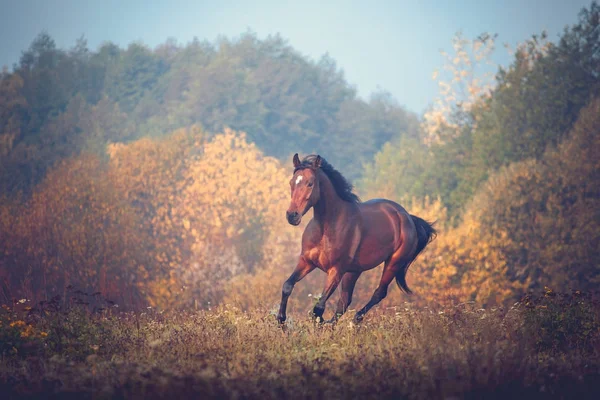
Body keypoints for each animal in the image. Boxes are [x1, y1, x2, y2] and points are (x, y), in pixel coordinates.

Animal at [276, 154, 436, 324]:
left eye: (310, 183)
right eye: (292, 182)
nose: (292, 215)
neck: (326, 228)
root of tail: (408, 217)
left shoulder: (336, 271)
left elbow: (318, 307)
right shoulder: (306, 261)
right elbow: (287, 286)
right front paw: (281, 321)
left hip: (393, 264)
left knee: (378, 293)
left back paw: (355, 320)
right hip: (354, 271)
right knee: (345, 301)